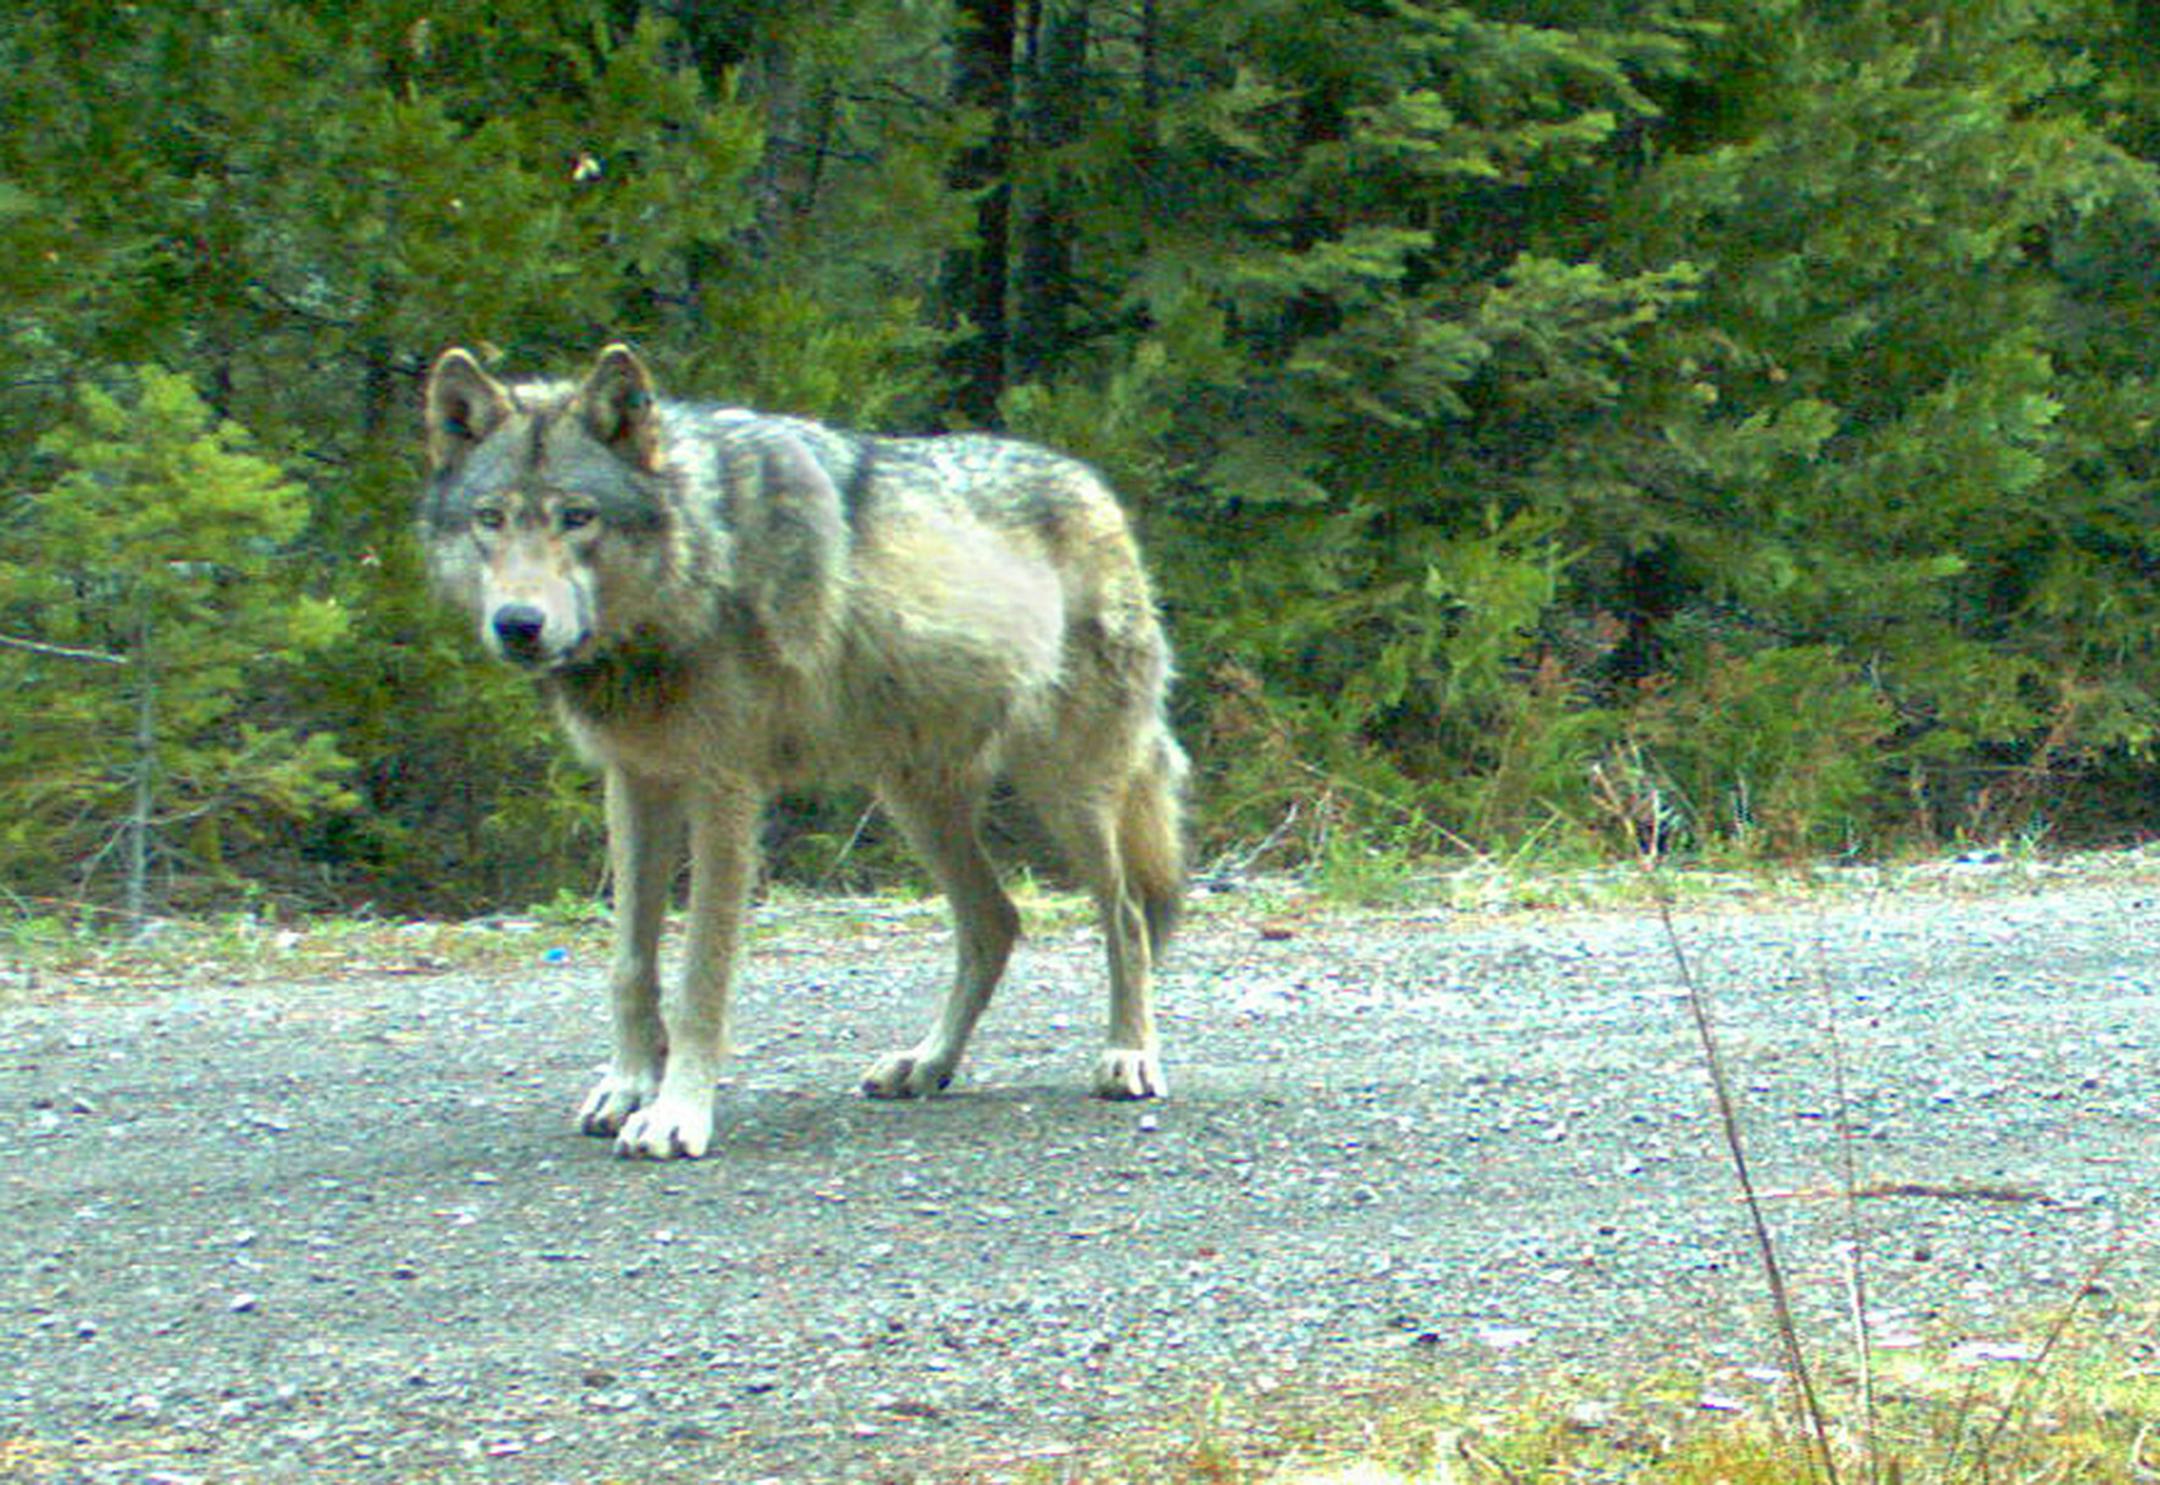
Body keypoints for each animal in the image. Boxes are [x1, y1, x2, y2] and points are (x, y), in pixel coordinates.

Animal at [420, 344, 1188, 1158]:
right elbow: (631, 964)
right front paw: (627, 1087)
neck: (697, 562)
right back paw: (926, 1064)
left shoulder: (724, 791)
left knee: (1127, 915)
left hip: (1069, 793)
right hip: (916, 801)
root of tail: (1099, 490)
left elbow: (700, 976)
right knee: (996, 922)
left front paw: (675, 1114)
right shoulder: (635, 783)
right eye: (491, 519)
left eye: (577, 517)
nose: (518, 624)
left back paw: (1129, 1054)